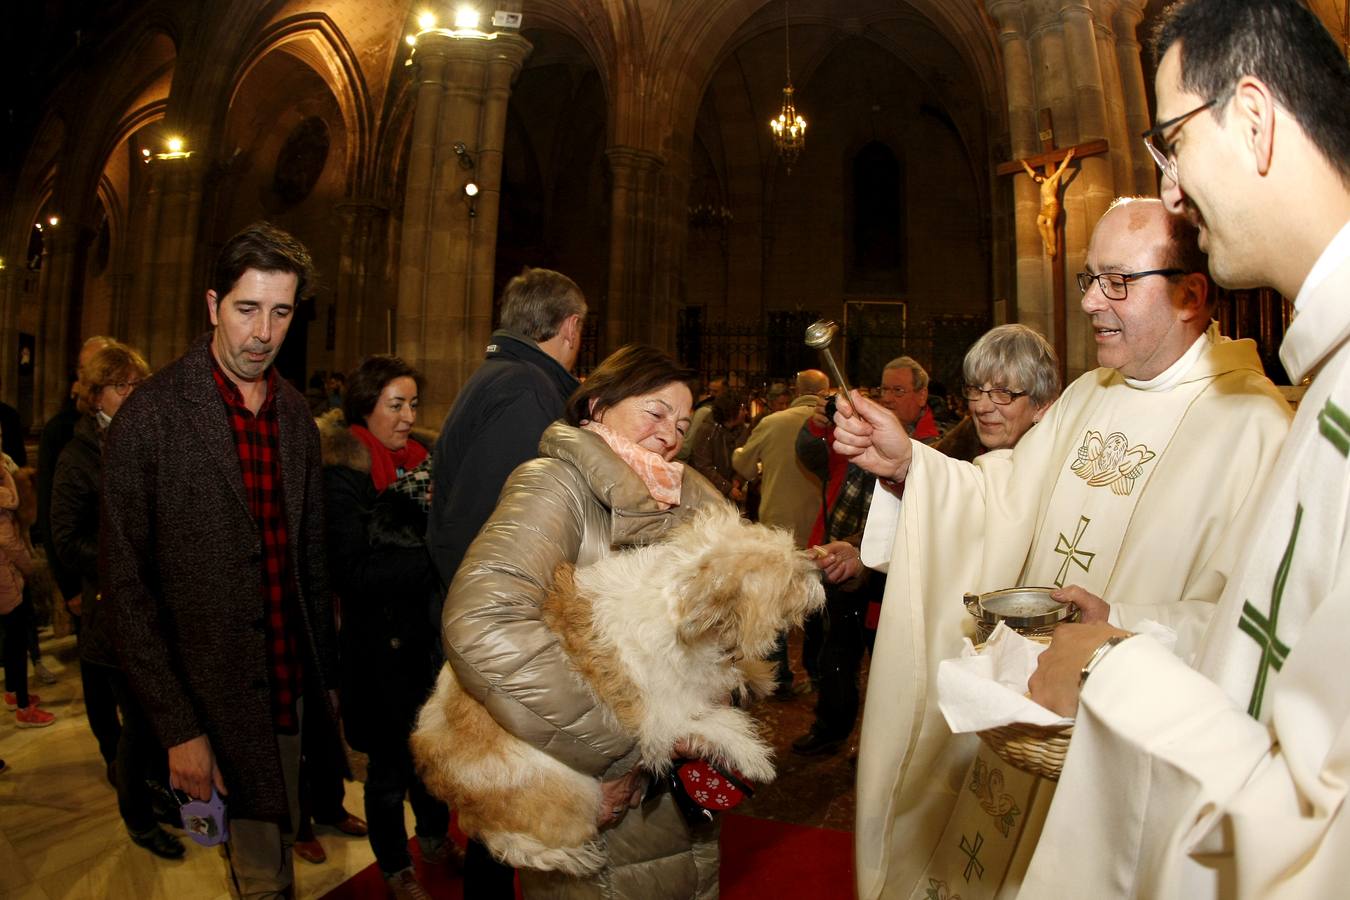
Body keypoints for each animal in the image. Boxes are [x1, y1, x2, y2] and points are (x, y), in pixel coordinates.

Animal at [410, 507, 826, 879]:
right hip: (565, 787)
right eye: (789, 579)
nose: (821, 570)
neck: (680, 606)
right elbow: (719, 722)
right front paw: (755, 758)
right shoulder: (662, 716)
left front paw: (757, 676)